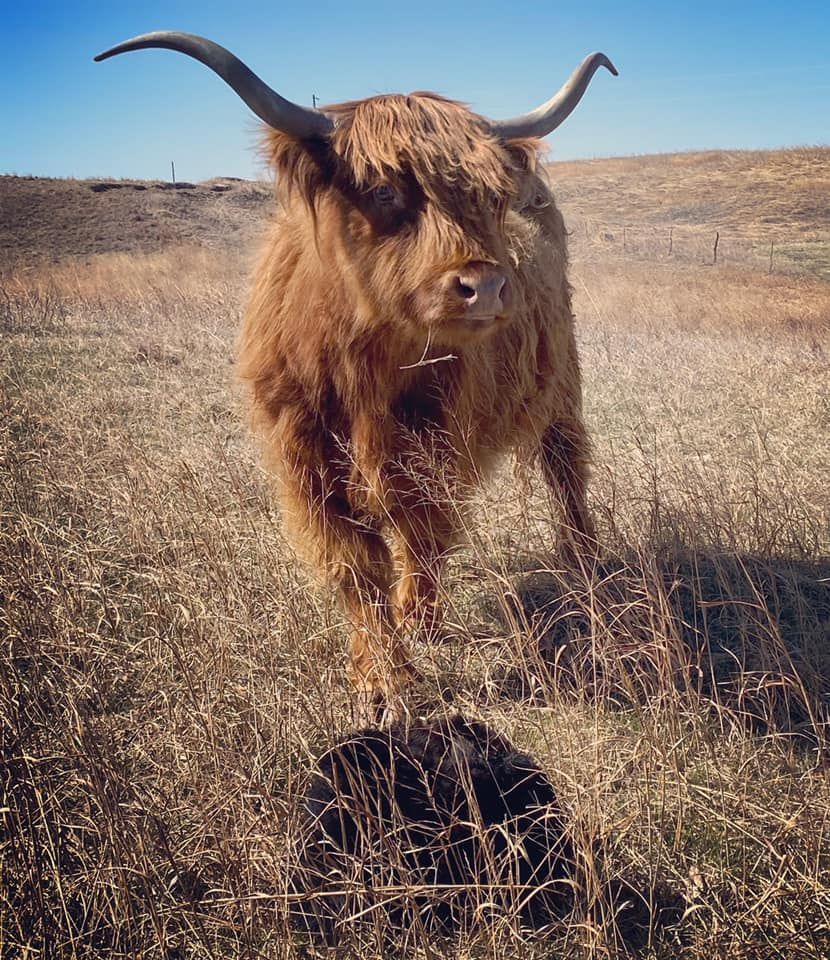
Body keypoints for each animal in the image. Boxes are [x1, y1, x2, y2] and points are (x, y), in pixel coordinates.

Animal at [96, 33, 617, 719]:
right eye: (383, 191)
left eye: (487, 197)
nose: (485, 287)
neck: (364, 366)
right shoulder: (306, 454)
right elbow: (354, 564)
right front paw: (382, 675)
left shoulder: (432, 444)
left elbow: (423, 535)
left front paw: (411, 638)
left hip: (561, 386)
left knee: (565, 471)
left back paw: (584, 564)